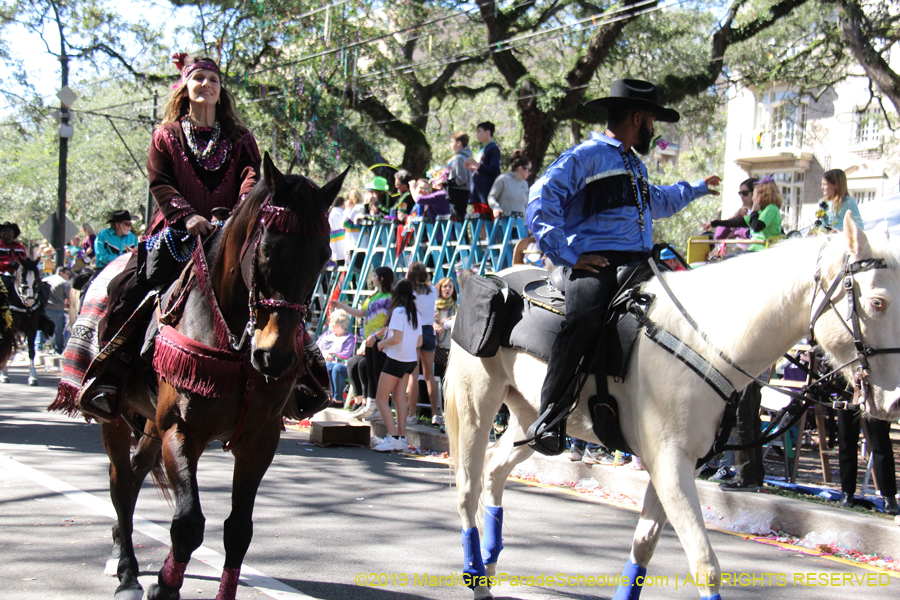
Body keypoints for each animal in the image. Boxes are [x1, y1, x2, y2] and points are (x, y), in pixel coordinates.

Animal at [101, 154, 344, 600]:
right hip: (115, 418)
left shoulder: (258, 440)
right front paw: (164, 587)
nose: (275, 357)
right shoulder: (181, 431)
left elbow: (238, 530)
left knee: (134, 473)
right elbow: (187, 524)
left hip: (149, 425)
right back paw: (126, 571)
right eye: (267, 249)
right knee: (121, 482)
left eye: (323, 256)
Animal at [442, 217, 900, 600]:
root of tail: (499, 276)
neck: (708, 340)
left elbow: (644, 545)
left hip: (529, 419)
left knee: (495, 472)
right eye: (878, 302)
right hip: (476, 403)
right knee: (467, 488)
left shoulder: (679, 465)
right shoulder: (669, 463)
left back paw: (491, 560)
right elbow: (704, 564)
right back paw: (476, 573)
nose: (893, 402)